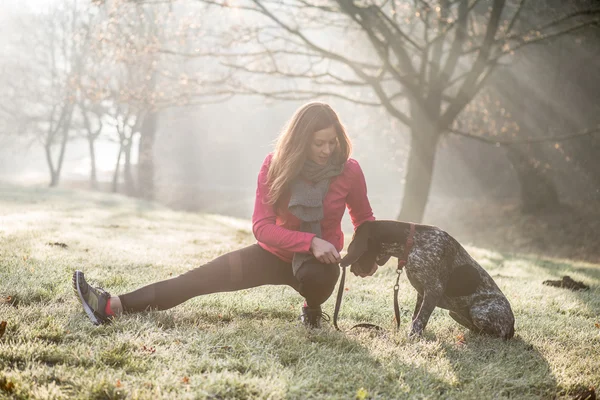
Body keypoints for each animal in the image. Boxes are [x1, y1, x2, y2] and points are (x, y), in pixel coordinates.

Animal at [342, 220, 516, 340]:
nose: (351, 269)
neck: (412, 242)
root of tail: (513, 327)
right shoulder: (422, 291)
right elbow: (416, 316)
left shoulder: (433, 290)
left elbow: (420, 319)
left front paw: (412, 338)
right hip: (455, 313)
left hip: (480, 311)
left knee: (497, 335)